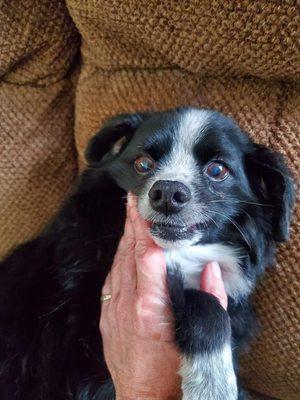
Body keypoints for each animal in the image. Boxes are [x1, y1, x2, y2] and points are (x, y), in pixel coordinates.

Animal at [0, 107, 296, 400]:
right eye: (142, 164)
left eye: (217, 169)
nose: (168, 193)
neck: (178, 254)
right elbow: (207, 305)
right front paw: (213, 385)